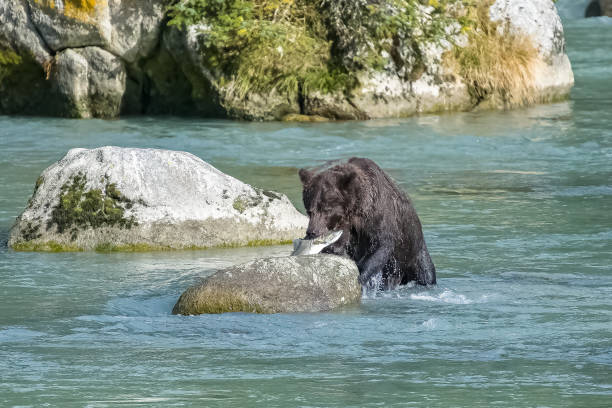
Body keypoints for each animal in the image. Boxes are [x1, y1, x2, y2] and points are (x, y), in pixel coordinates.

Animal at [298, 157, 436, 290]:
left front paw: (361, 274)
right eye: (309, 210)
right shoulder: (348, 224)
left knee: (425, 272)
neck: (358, 206)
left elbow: (381, 243)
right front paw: (331, 248)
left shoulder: (379, 214)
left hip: (414, 253)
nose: (312, 232)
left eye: (326, 209)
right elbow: (342, 240)